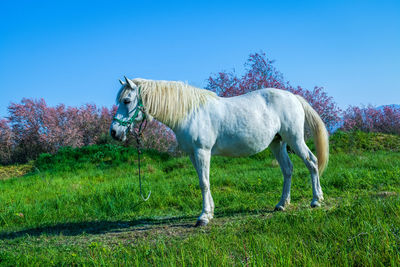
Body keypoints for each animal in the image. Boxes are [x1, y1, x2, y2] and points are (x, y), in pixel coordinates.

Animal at [109, 76, 328, 227]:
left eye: (126, 100)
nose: (114, 132)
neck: (190, 112)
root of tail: (294, 97)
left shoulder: (202, 152)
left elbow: (204, 183)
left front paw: (204, 217)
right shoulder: (193, 154)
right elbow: (203, 181)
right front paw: (210, 211)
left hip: (295, 139)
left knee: (312, 162)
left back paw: (316, 200)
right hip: (277, 143)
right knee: (288, 170)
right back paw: (282, 204)